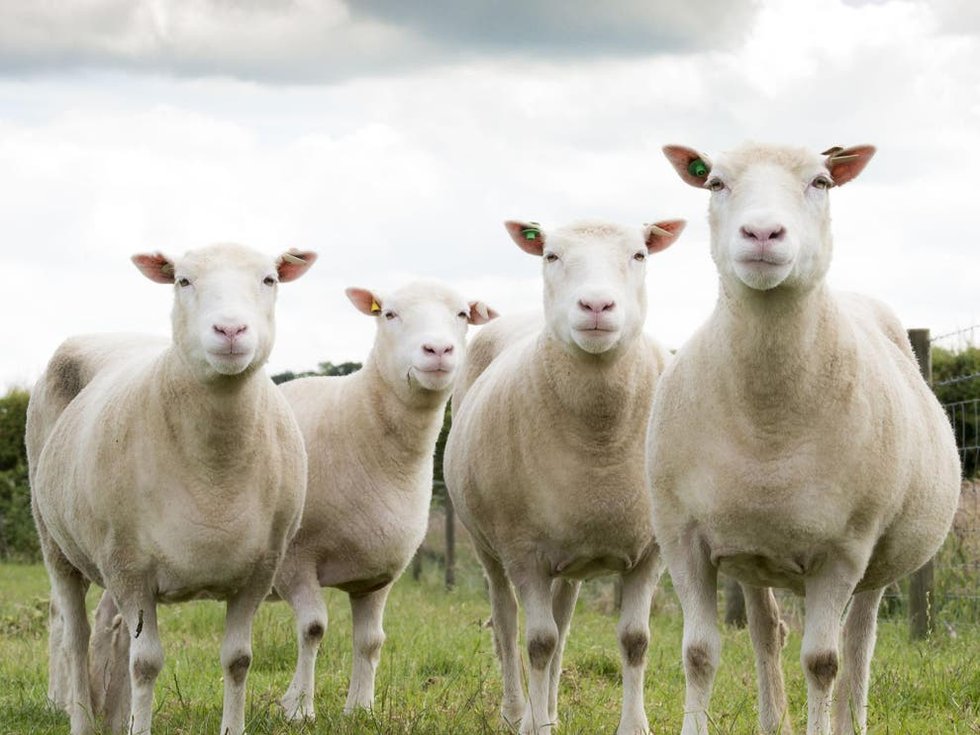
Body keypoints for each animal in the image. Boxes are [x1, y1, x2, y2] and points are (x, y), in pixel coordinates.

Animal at [25, 243, 317, 735]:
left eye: (269, 279)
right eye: (183, 280)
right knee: (76, 634)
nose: (230, 329)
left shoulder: (259, 570)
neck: (215, 471)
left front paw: (231, 727)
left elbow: (238, 659)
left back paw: (115, 719)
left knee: (116, 634)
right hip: (58, 542)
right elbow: (146, 664)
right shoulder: (130, 568)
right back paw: (83, 718)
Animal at [273, 280, 497, 720]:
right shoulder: (295, 561)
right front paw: (300, 709)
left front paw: (360, 708)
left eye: (463, 314)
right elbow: (313, 628)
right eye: (389, 314)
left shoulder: (377, 573)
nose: (438, 350)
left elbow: (371, 641)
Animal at [444, 217, 686, 735]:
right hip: (488, 546)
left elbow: (635, 639)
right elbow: (537, 643)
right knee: (507, 622)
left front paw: (634, 725)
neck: (600, 437)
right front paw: (533, 726)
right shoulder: (523, 551)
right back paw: (518, 712)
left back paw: (550, 708)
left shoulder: (650, 551)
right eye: (550, 255)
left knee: (563, 621)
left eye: (639, 254)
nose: (595, 306)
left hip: (571, 558)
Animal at [646, 142, 960, 735]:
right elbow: (697, 653)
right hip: (749, 549)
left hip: (877, 560)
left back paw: (850, 721)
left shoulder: (843, 550)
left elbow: (822, 661)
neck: (768, 420)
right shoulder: (684, 536)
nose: (763, 233)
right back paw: (773, 721)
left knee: (857, 642)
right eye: (715, 182)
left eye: (821, 182)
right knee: (767, 630)